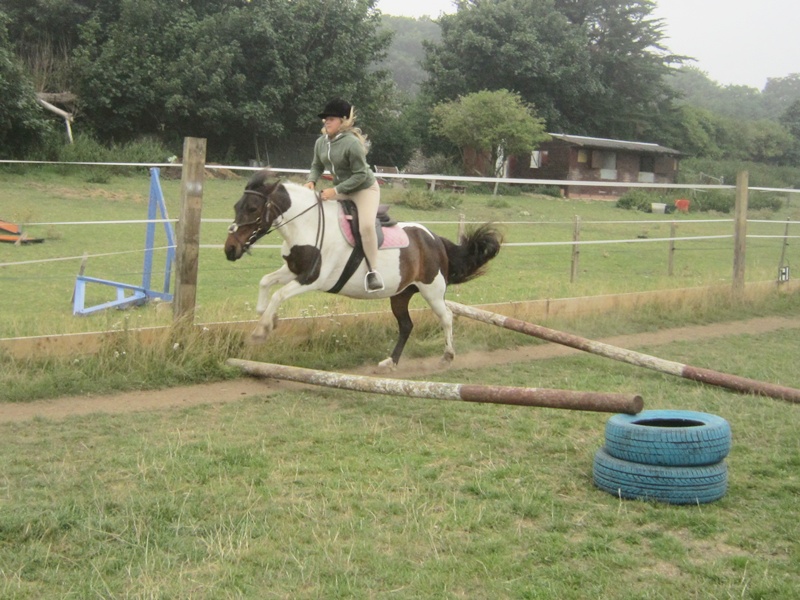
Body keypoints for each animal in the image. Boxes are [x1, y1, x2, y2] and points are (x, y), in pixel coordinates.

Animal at [224, 170, 503, 370]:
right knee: (406, 326)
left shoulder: (311, 279)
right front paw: (270, 319)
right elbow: (265, 283)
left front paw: (261, 330)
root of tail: (435, 239)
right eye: (236, 206)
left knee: (446, 317)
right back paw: (391, 362)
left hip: (432, 290)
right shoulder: (293, 270)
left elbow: (278, 294)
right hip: (401, 294)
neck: (307, 225)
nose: (230, 250)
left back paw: (447, 356)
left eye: (252, 208)